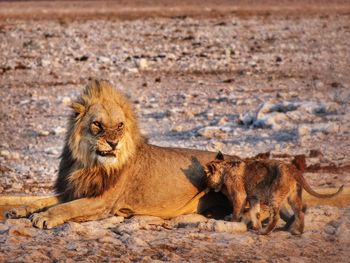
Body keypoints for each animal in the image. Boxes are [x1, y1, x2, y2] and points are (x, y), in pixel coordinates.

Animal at [4, 80, 235, 229]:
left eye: (120, 125)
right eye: (97, 124)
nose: (113, 142)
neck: (89, 164)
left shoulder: (103, 201)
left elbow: (68, 207)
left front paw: (44, 217)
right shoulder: (75, 189)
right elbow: (44, 200)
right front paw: (19, 210)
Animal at [204, 154, 344, 236]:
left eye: (206, 176)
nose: (206, 184)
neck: (225, 169)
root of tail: (293, 169)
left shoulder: (240, 195)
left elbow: (237, 211)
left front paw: (233, 223)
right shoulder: (253, 197)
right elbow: (255, 213)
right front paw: (256, 227)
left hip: (274, 196)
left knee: (276, 217)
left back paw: (265, 232)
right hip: (293, 196)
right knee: (300, 212)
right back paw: (298, 231)